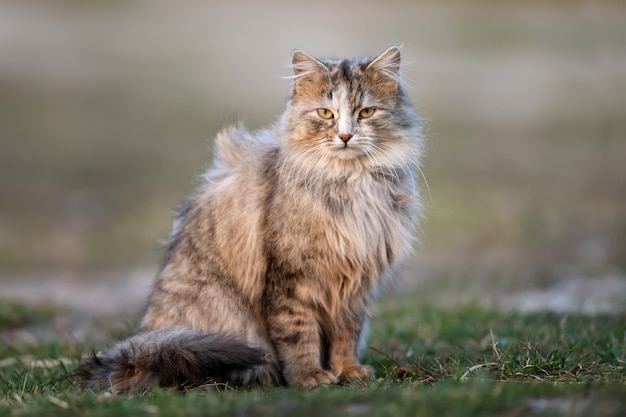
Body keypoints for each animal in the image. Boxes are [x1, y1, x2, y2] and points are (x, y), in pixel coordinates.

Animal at [80, 47, 422, 392]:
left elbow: (347, 334)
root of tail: (140, 351)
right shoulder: (291, 279)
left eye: (366, 112)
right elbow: (299, 335)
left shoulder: (353, 285)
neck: (351, 184)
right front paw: (309, 376)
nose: (345, 135)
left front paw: (348, 370)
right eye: (326, 113)